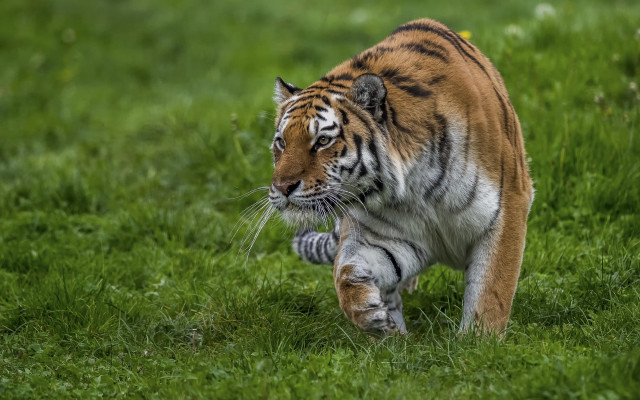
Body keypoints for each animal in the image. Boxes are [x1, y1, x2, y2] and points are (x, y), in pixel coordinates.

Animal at [267, 18, 534, 336]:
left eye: (322, 141)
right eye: (281, 142)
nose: (282, 187)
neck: (413, 186)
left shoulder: (507, 206)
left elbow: (491, 291)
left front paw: (478, 341)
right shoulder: (383, 236)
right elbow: (345, 272)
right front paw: (369, 312)